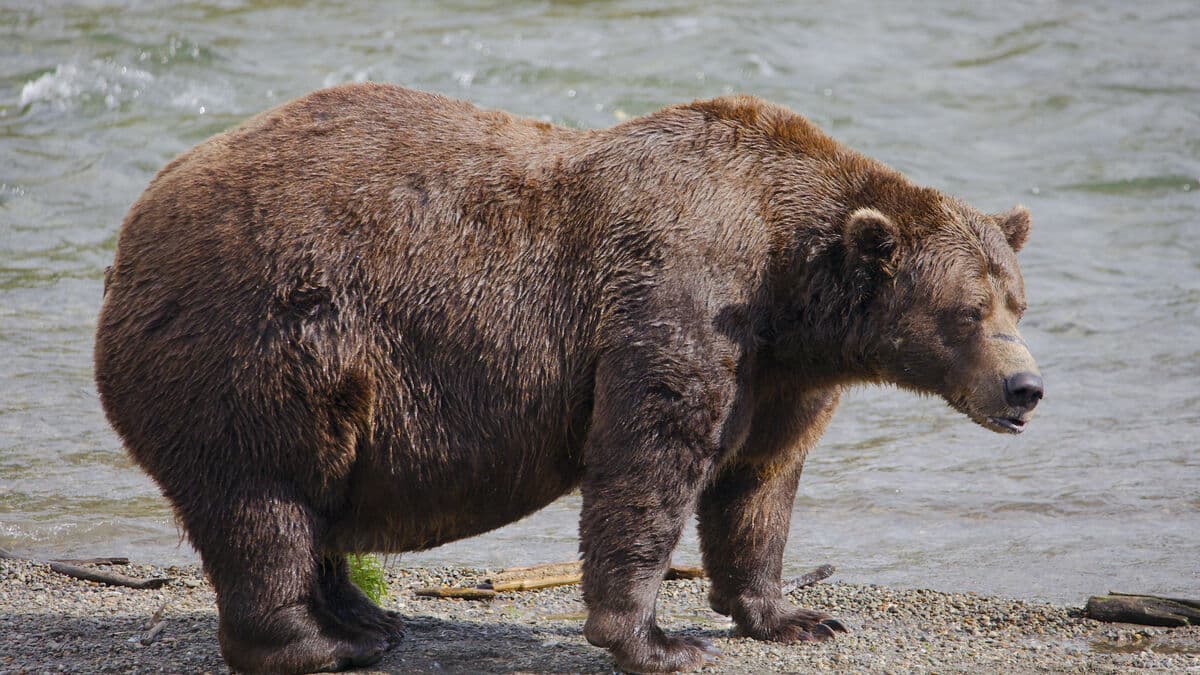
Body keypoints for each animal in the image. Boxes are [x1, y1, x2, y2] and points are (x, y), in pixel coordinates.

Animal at [94, 84, 1043, 674]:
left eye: (1018, 301)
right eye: (967, 311)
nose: (1025, 389)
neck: (790, 282)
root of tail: (130, 232)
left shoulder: (780, 373)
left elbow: (758, 483)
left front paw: (794, 615)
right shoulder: (680, 298)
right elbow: (649, 459)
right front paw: (659, 640)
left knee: (313, 502)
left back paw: (368, 617)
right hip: (260, 345)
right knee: (265, 502)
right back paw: (322, 641)